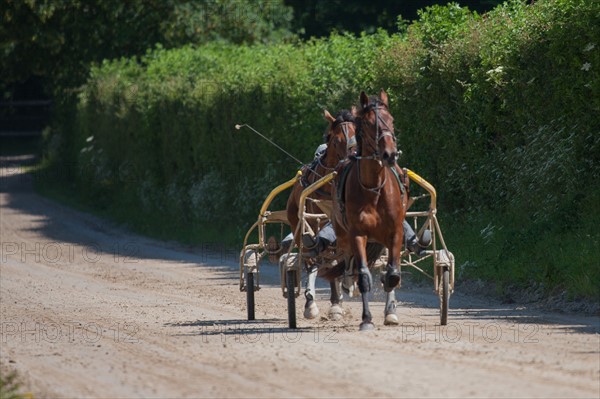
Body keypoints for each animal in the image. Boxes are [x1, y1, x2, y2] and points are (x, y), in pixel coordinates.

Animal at [284, 109, 356, 322]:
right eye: (337, 140)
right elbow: (316, 256)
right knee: (311, 258)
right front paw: (311, 303)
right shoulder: (314, 224)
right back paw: (311, 302)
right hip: (298, 226)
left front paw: (337, 302)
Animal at [330, 90, 410, 332]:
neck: (374, 188)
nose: (389, 154)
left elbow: (392, 274)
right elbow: (363, 276)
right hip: (342, 234)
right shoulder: (358, 234)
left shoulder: (395, 232)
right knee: (347, 261)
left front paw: (390, 310)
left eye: (391, 119)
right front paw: (366, 319)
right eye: (368, 123)